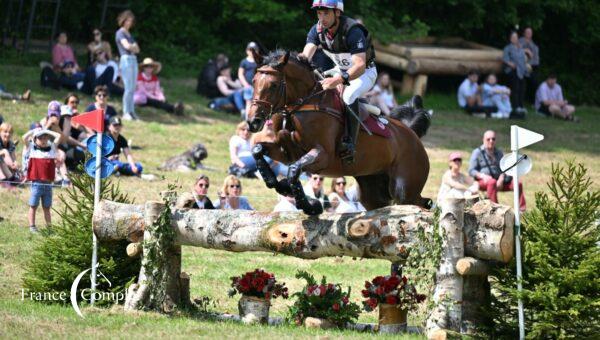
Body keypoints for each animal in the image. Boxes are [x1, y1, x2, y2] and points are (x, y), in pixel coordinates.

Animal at [248, 49, 432, 215]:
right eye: (254, 81)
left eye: (273, 85)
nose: (253, 122)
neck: (303, 104)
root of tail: (412, 134)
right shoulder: (285, 151)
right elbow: (257, 150)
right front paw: (278, 183)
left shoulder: (323, 156)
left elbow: (294, 170)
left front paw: (310, 206)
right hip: (372, 189)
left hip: (404, 188)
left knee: (419, 202)